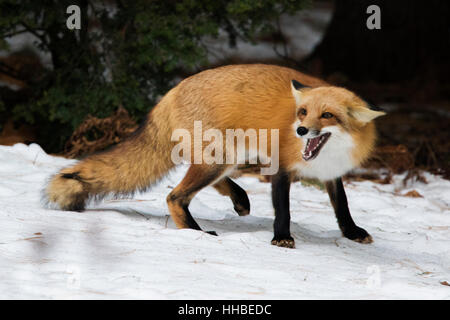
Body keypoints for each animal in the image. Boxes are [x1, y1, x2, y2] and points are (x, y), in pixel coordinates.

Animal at [44, 63, 384, 248]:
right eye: (302, 111)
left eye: (327, 115)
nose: (300, 130)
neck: (326, 155)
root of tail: (173, 89)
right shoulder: (281, 168)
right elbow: (283, 210)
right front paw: (282, 238)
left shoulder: (332, 174)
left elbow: (342, 206)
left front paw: (352, 232)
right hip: (218, 158)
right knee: (175, 196)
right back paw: (196, 232)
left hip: (227, 156)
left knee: (214, 183)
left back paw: (239, 201)